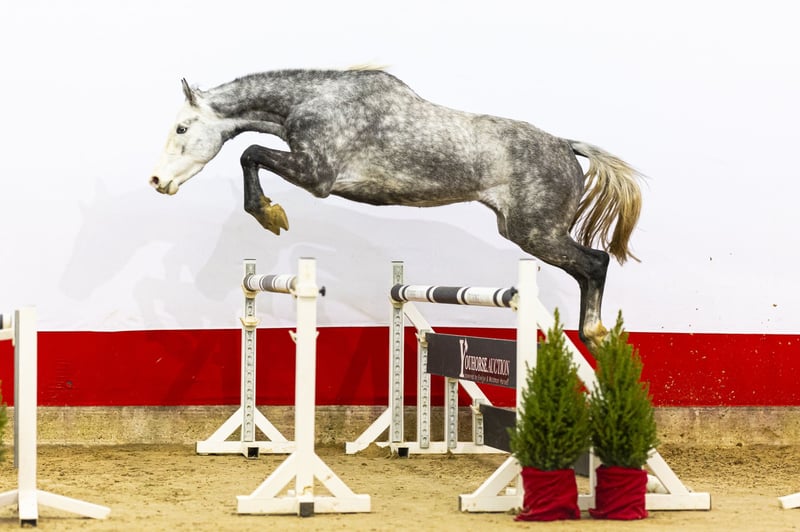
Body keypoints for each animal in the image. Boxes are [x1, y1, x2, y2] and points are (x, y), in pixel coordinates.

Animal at [150, 69, 642, 348]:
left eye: (182, 128)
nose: (157, 182)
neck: (312, 101)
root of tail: (566, 146)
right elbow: (251, 153)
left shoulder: (316, 175)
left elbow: (249, 152)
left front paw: (269, 214)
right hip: (525, 231)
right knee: (588, 267)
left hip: (536, 232)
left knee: (595, 263)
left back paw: (595, 334)